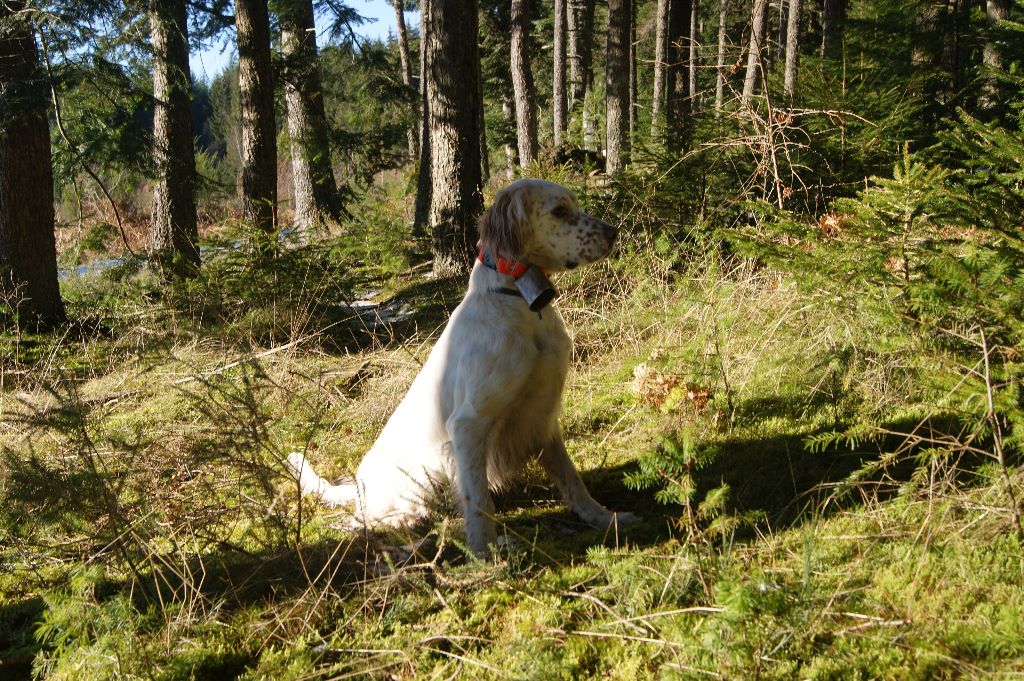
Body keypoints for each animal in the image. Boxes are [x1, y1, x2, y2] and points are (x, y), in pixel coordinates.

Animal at [288, 178, 634, 557]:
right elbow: (478, 501)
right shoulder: (468, 424)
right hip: (427, 472)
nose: (614, 232)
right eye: (559, 210)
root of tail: (361, 484)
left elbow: (572, 479)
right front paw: (484, 554)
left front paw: (604, 518)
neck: (520, 302)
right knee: (363, 521)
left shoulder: (541, 417)